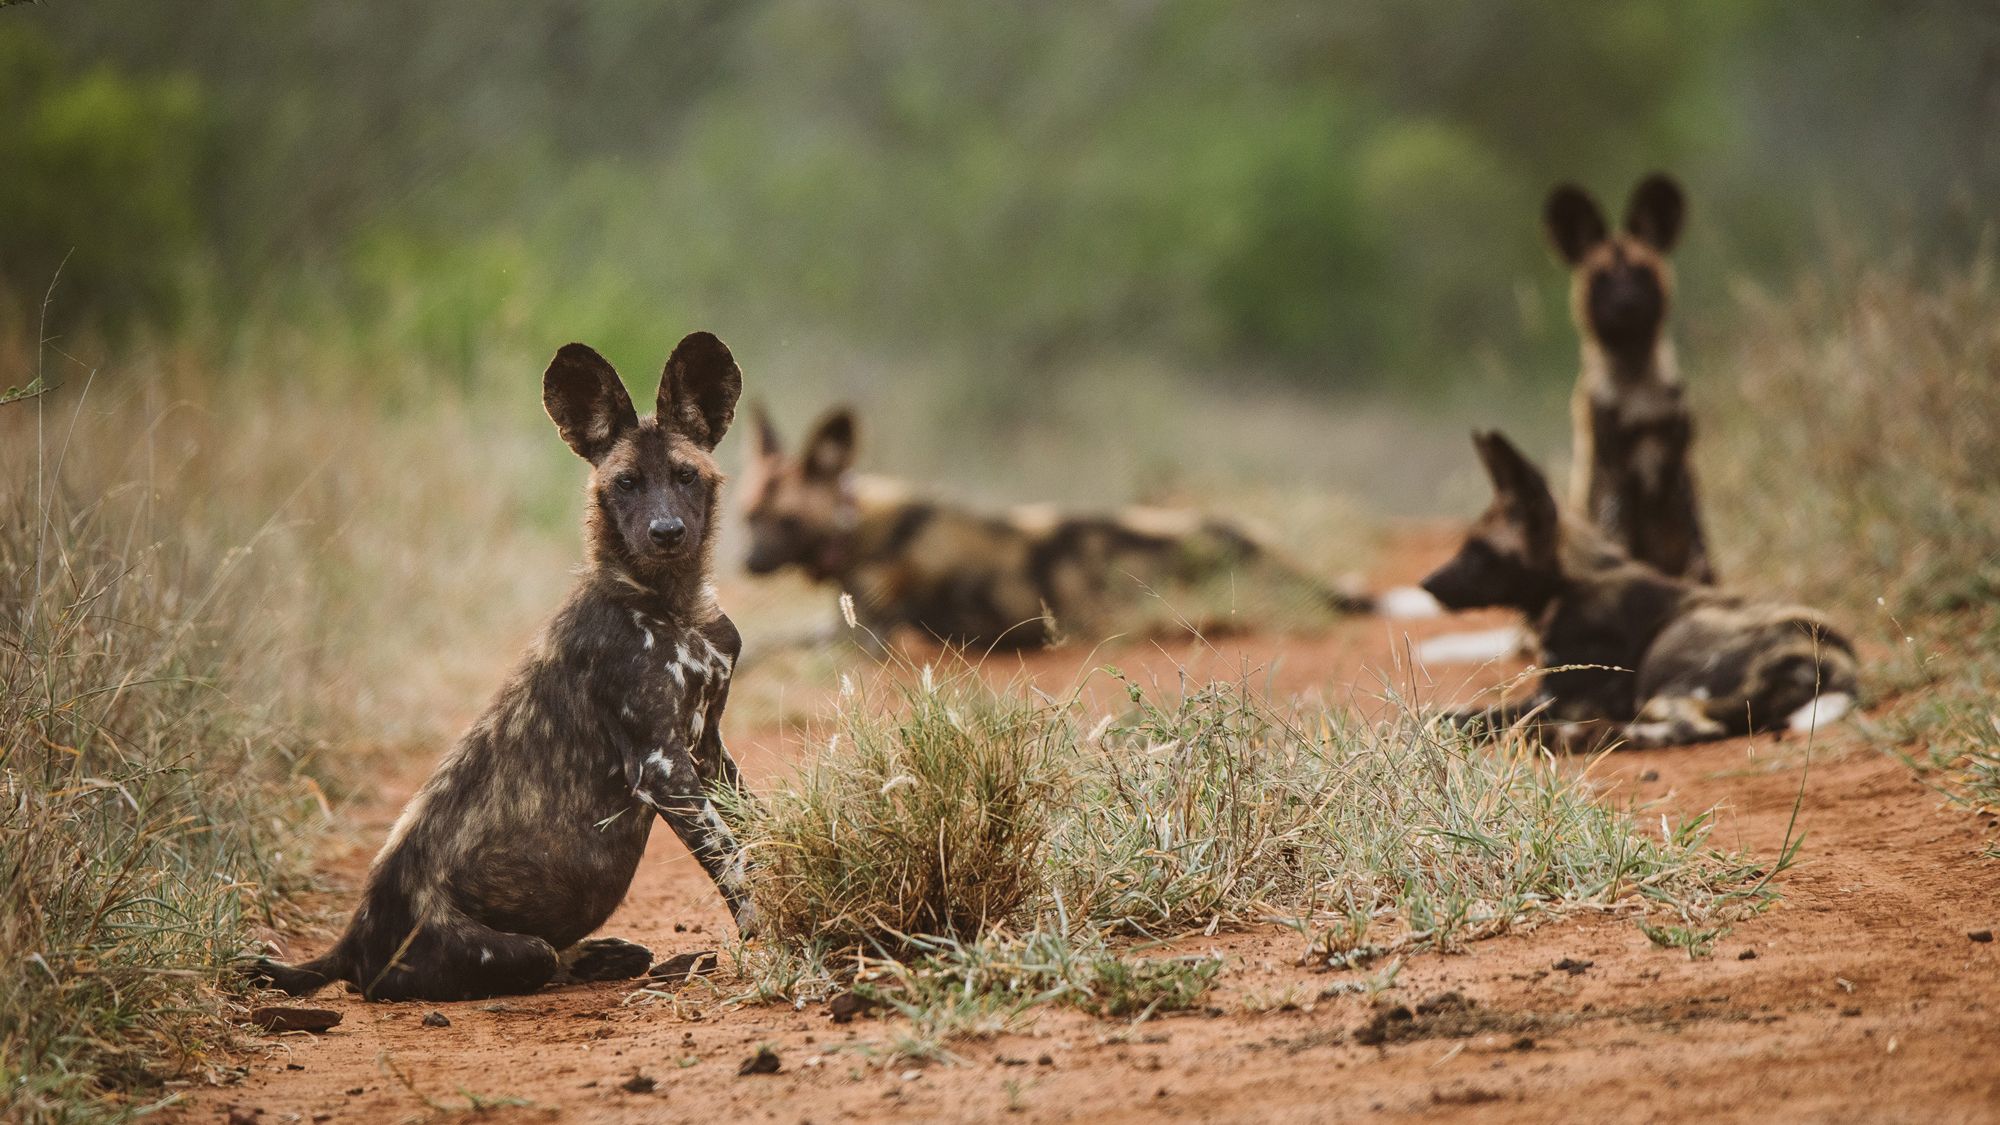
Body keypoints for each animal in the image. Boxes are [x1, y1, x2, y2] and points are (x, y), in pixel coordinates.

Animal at [246, 332, 752, 996]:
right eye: (627, 483)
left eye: (686, 475)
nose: (666, 531)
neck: (675, 604)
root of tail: (349, 943)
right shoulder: (663, 767)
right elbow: (733, 861)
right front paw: (769, 931)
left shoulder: (707, 750)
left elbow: (757, 835)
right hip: (506, 952)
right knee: (531, 961)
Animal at [1424, 428, 1856, 744]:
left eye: (1477, 551)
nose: (1427, 584)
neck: (1569, 585)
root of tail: (1840, 665)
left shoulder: (1560, 699)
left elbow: (1460, 716)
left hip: (1667, 667)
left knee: (1696, 729)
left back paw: (1583, 738)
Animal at [1544, 173, 1720, 588]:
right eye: (1601, 279)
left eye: (1643, 273)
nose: (1626, 305)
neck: (1637, 381)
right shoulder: (1615, 474)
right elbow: (1620, 542)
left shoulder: (1678, 464)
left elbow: (1700, 552)